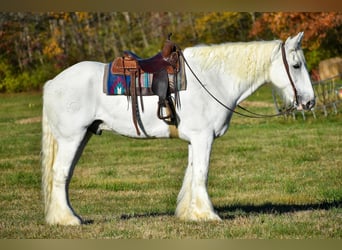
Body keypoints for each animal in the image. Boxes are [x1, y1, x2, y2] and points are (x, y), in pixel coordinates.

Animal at [42, 31, 316, 225]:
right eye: (296, 66)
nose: (310, 102)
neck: (212, 80)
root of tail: (52, 82)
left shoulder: (196, 140)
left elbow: (192, 174)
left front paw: (190, 213)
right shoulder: (204, 138)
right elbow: (201, 174)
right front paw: (208, 215)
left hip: (83, 136)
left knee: (65, 176)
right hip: (71, 138)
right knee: (60, 174)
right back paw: (67, 220)